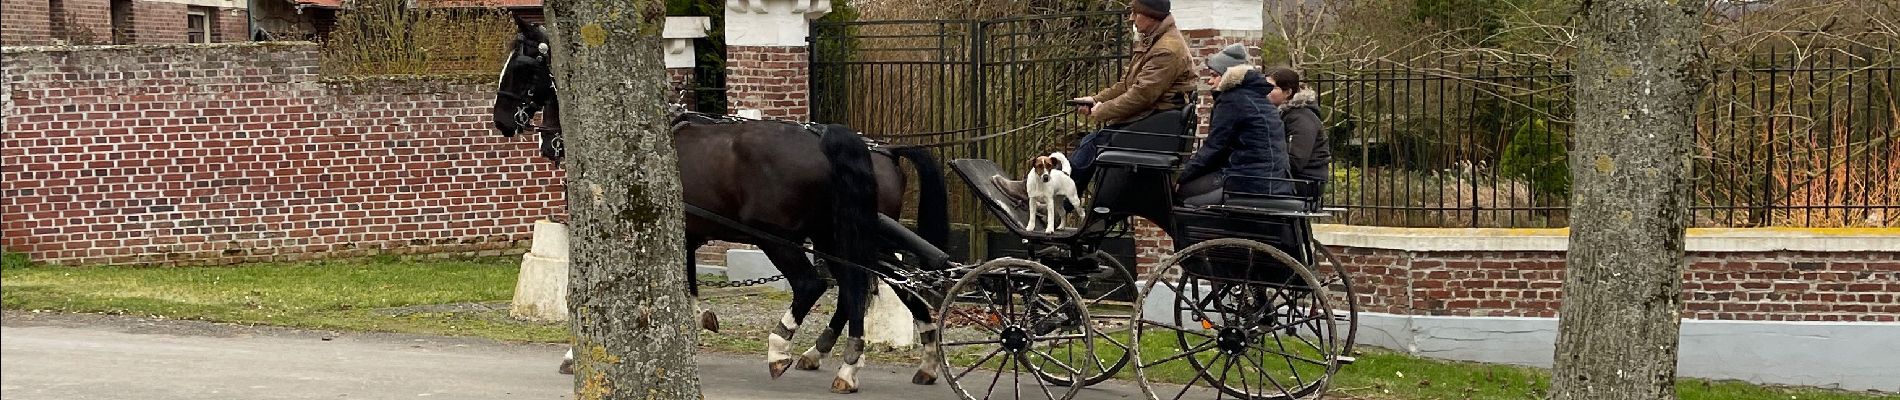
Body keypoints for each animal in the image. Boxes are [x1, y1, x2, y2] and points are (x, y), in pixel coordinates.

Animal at [494, 16, 950, 394]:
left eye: (522, 67)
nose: (501, 120)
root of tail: (871, 147)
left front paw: (574, 353)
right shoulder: (684, 233)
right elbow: (688, 283)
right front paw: (697, 321)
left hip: (783, 237)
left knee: (816, 285)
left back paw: (783, 349)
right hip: (841, 238)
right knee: (865, 288)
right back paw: (868, 361)